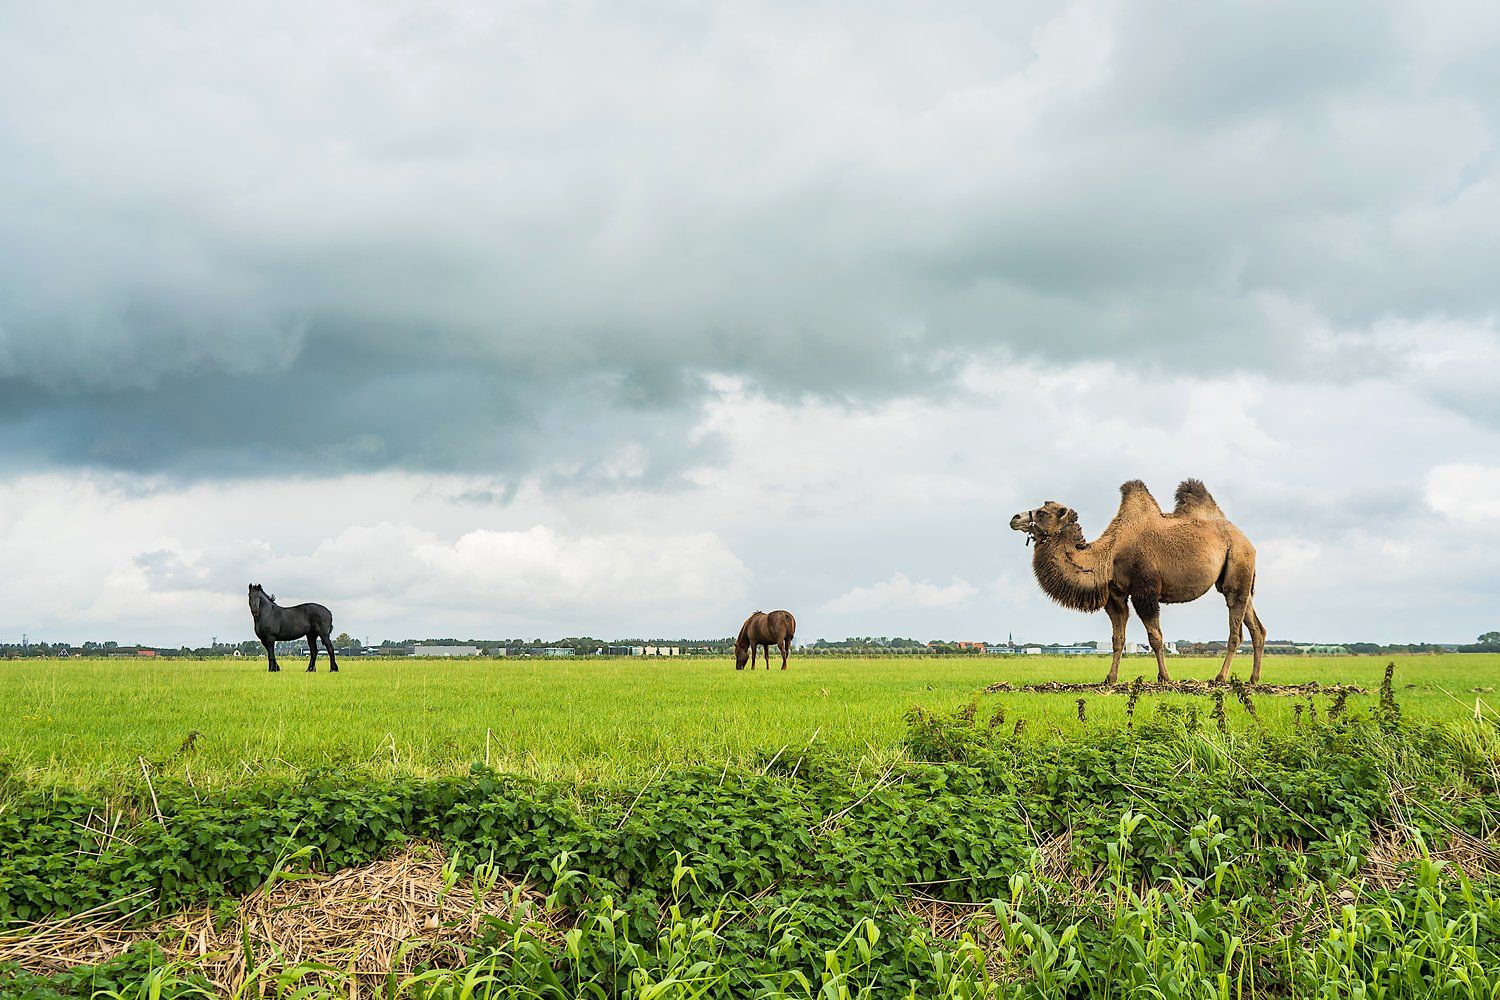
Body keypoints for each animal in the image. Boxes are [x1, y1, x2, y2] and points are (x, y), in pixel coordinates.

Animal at [1009, 480, 1266, 685]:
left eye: (1042, 512)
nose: (1015, 518)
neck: (1107, 556)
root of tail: (1246, 540)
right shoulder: (1115, 596)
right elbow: (1118, 639)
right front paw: (1110, 679)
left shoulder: (1145, 591)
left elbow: (1155, 637)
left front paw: (1165, 678)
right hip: (1239, 579)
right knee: (1256, 627)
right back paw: (1253, 679)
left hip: (1238, 563)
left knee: (1236, 627)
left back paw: (1221, 677)